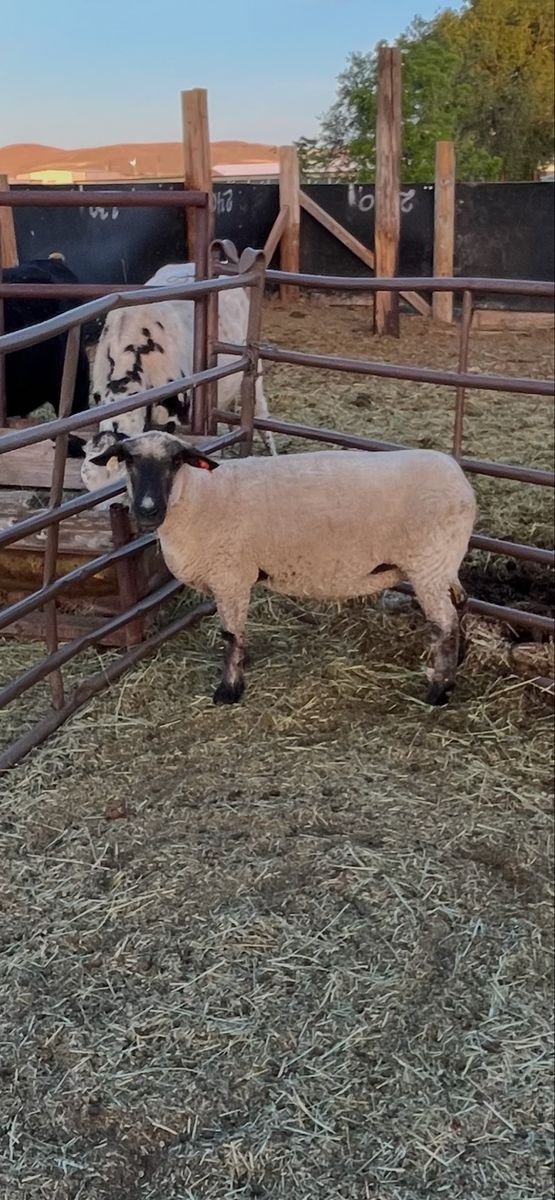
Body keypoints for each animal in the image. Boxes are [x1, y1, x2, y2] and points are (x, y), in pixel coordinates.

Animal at [91, 432, 477, 708]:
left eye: (175, 460)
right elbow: (237, 632)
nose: (147, 510)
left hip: (427, 564)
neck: (197, 494)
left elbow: (230, 635)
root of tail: (462, 483)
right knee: (461, 605)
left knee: (444, 624)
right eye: (128, 460)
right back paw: (458, 664)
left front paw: (229, 690)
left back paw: (438, 691)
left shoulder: (230, 576)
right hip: (443, 562)